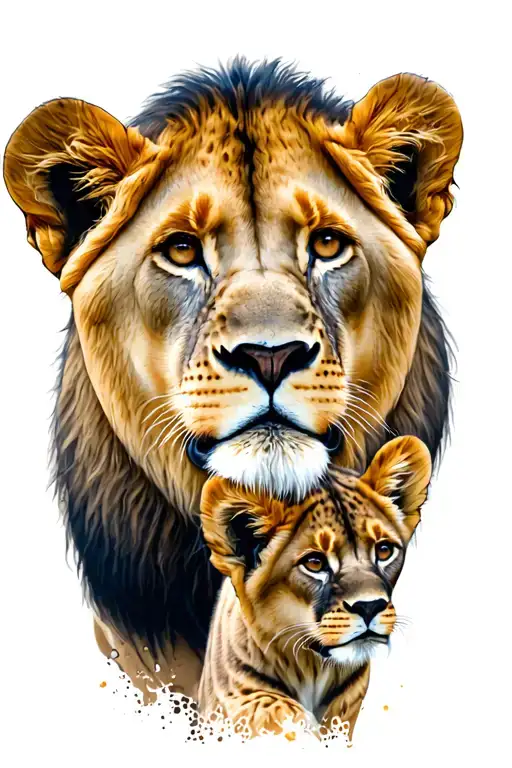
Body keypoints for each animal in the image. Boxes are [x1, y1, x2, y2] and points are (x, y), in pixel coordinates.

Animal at [199, 435, 431, 741]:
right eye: (314, 563)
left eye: (384, 551)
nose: (370, 606)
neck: (313, 670)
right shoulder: (233, 693)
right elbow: (274, 708)